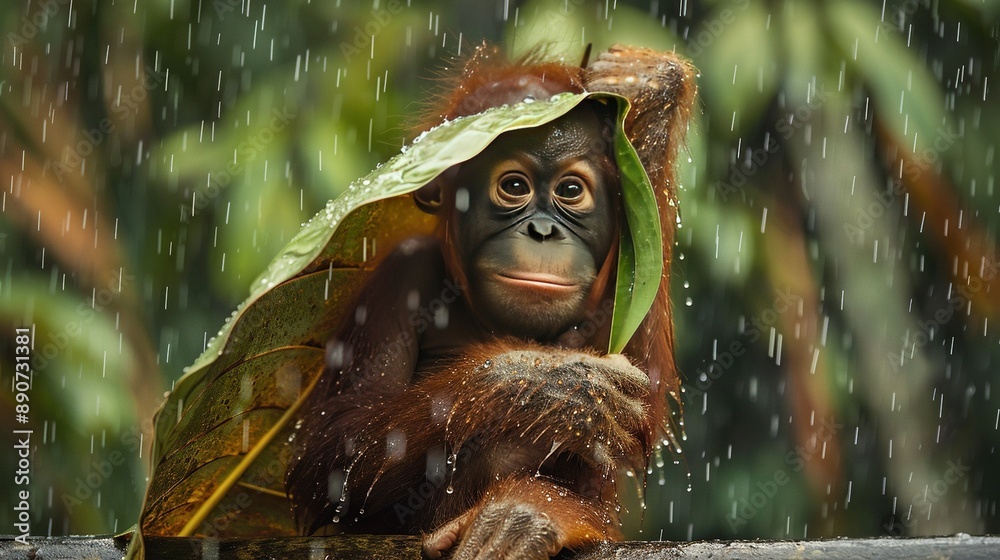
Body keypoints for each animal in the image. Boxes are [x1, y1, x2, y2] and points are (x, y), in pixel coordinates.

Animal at [286, 44, 696, 560]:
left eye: (570, 191)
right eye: (514, 186)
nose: (542, 231)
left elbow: (638, 396)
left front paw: (648, 88)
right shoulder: (401, 274)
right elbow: (332, 450)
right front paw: (551, 382)